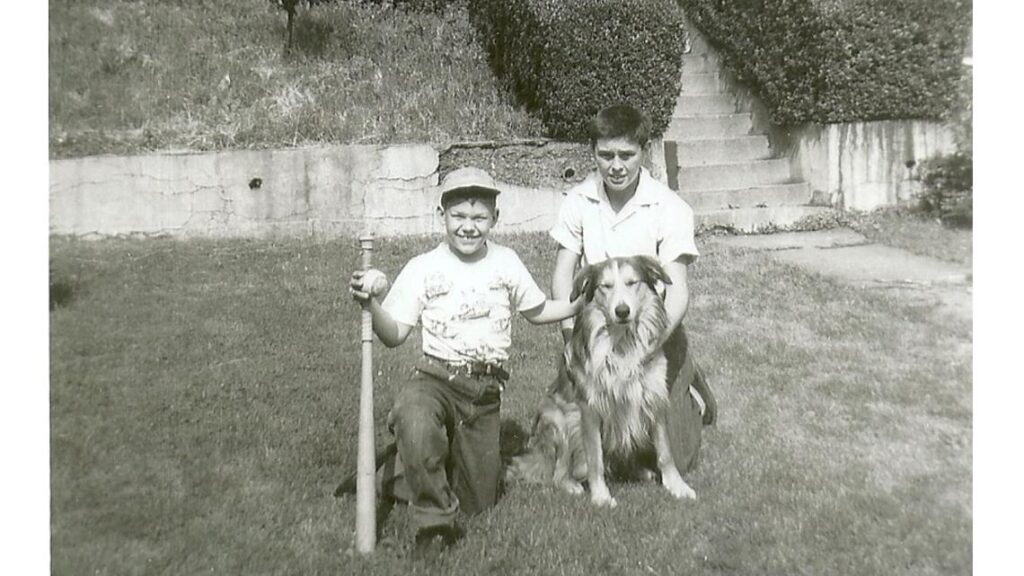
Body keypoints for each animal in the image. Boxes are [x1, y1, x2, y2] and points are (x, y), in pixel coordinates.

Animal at [512, 253, 696, 504]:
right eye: (605, 286)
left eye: (632, 282)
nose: (622, 311)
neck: (622, 344)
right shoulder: (589, 408)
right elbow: (595, 457)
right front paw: (601, 496)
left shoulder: (653, 398)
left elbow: (665, 451)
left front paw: (677, 486)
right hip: (558, 419)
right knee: (558, 472)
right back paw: (572, 485)